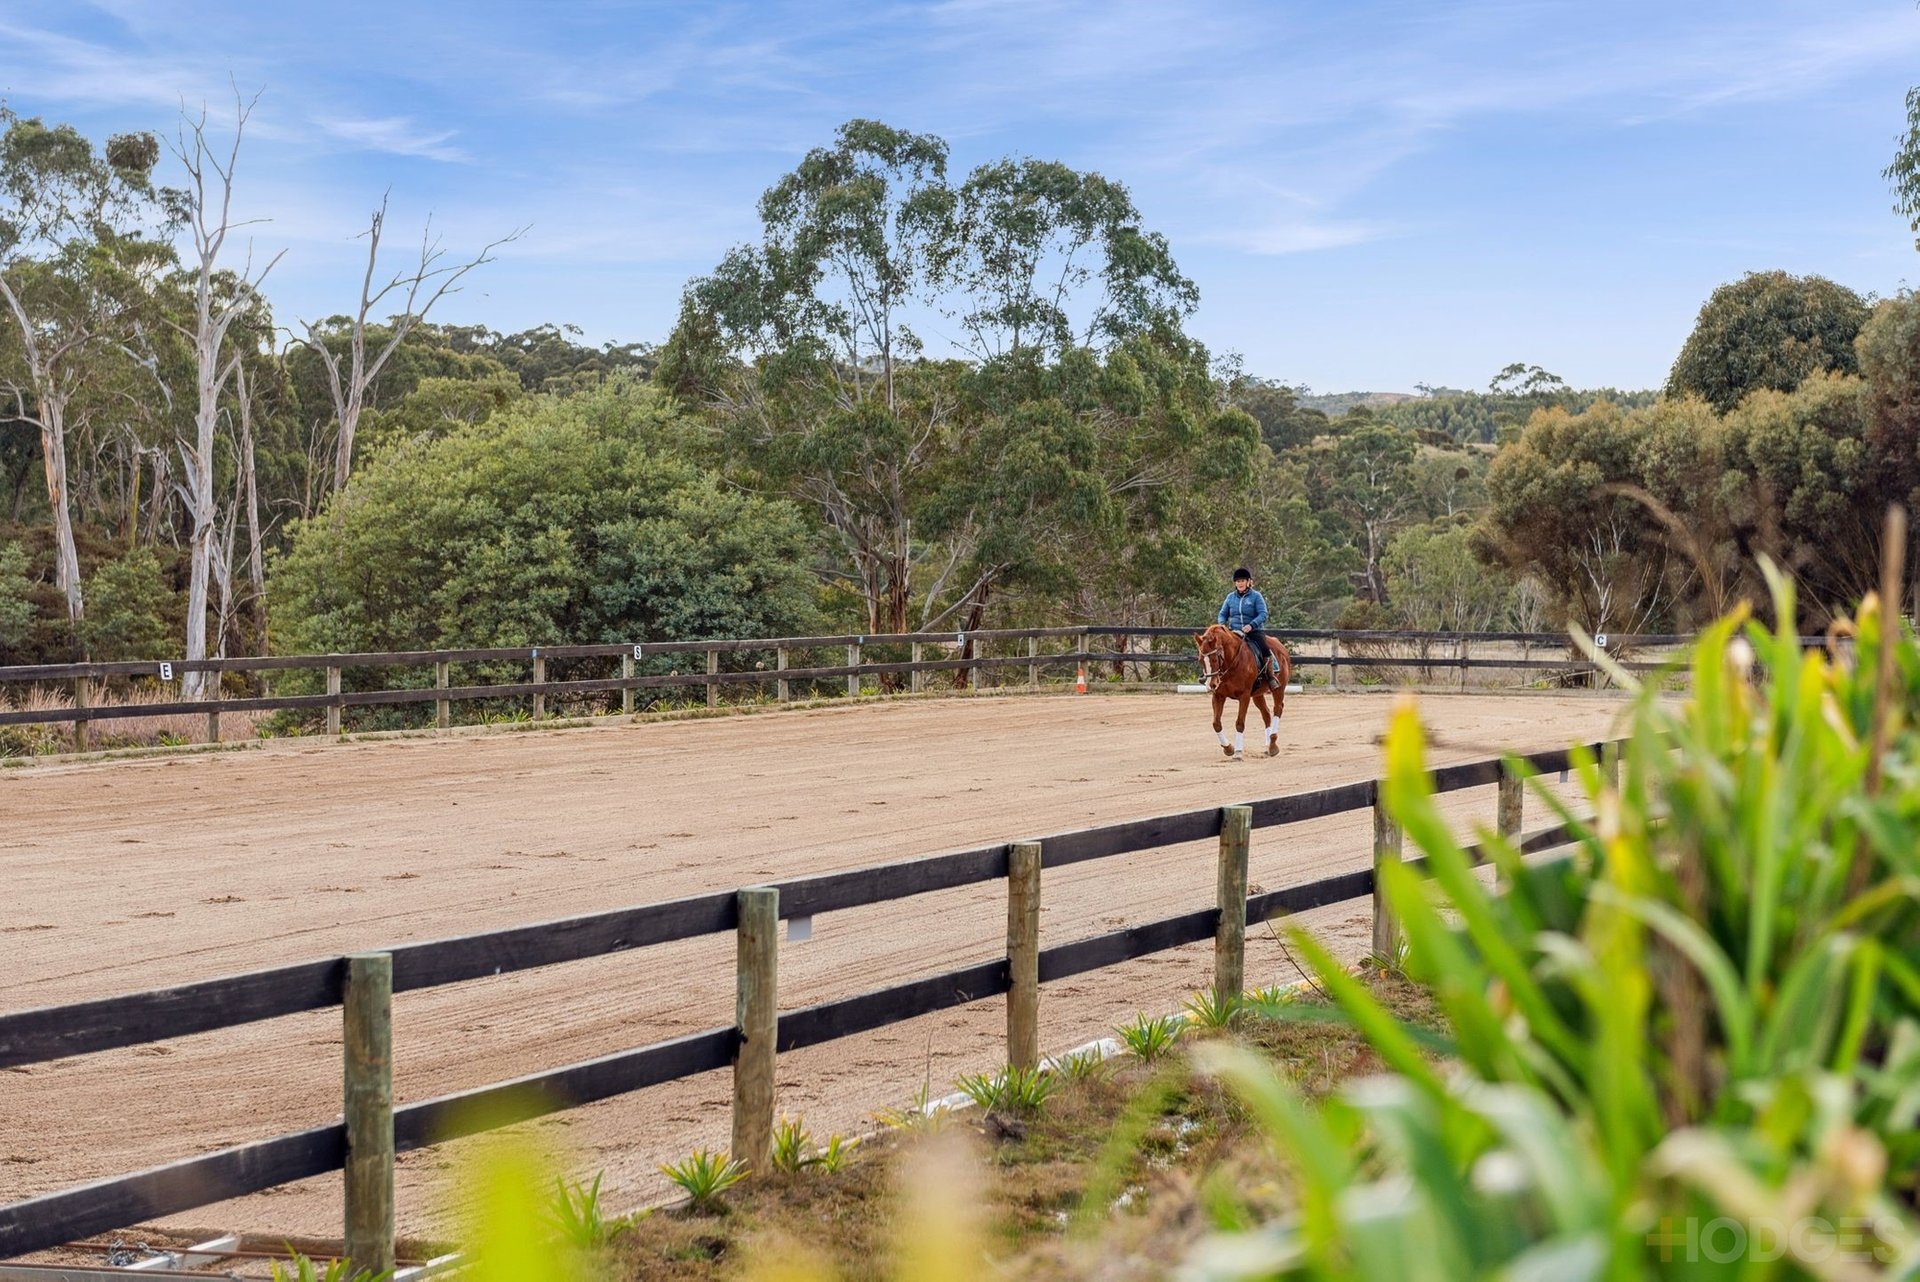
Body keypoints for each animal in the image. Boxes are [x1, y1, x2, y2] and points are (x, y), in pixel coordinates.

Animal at [1198, 621, 1290, 756]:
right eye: (1200, 660)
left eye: (1214, 659)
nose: (1211, 685)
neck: (1232, 661)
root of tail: (1281, 646)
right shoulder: (1218, 696)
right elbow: (1216, 723)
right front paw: (1228, 748)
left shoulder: (1244, 696)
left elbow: (1240, 723)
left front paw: (1238, 752)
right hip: (1257, 694)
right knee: (1266, 714)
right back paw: (1268, 745)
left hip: (1278, 689)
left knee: (1278, 709)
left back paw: (1273, 746)